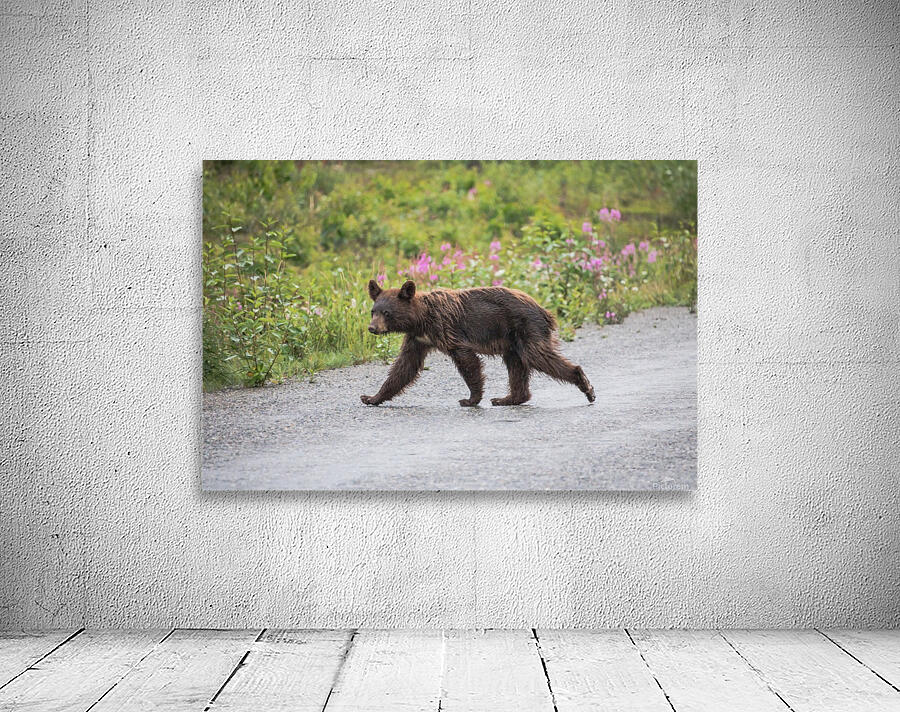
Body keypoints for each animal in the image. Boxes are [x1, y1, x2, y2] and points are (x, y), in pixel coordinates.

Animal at [361, 279, 595, 407]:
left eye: (386, 313)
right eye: (373, 311)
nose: (372, 328)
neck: (421, 320)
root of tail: (544, 310)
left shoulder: (447, 330)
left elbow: (467, 361)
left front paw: (470, 399)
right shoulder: (417, 340)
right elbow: (404, 367)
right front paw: (371, 397)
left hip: (526, 328)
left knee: (537, 356)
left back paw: (585, 385)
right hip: (512, 341)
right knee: (516, 365)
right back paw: (507, 398)